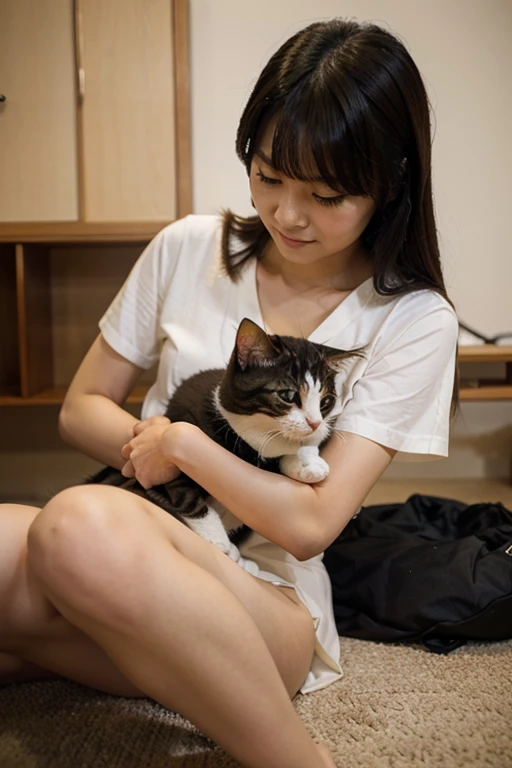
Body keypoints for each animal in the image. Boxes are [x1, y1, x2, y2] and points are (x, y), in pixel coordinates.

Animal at [86, 316, 362, 560]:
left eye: (326, 401)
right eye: (287, 395)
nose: (315, 422)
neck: (255, 433)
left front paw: (307, 463)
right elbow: (184, 493)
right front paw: (218, 540)